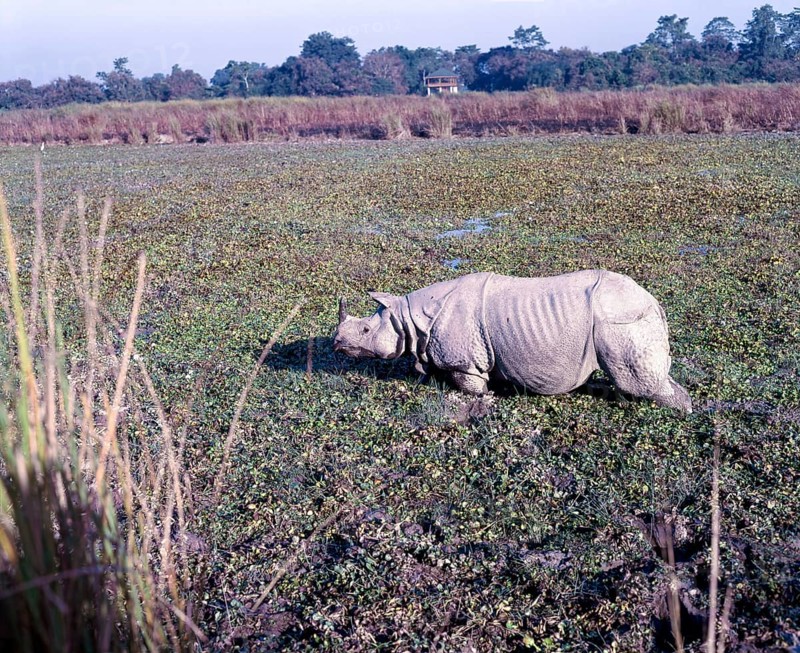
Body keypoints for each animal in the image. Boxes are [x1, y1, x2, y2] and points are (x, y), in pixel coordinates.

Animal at [333, 270, 692, 412]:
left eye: (365, 332)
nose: (336, 343)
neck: (408, 319)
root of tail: (653, 301)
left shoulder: (467, 362)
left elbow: (472, 387)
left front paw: (485, 399)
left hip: (621, 320)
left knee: (639, 381)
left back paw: (678, 411)